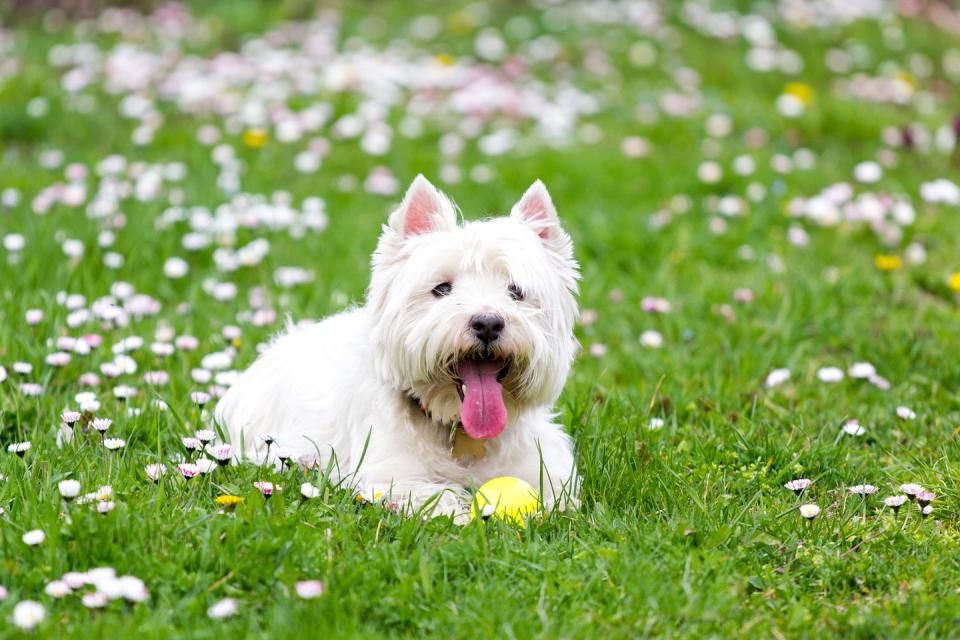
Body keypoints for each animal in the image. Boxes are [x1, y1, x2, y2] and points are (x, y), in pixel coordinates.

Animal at [216, 178, 576, 516]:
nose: (487, 323)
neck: (455, 428)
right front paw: (462, 514)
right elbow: (434, 494)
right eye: (441, 288)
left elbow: (556, 493)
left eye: (516, 291)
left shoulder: (543, 463)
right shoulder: (388, 474)